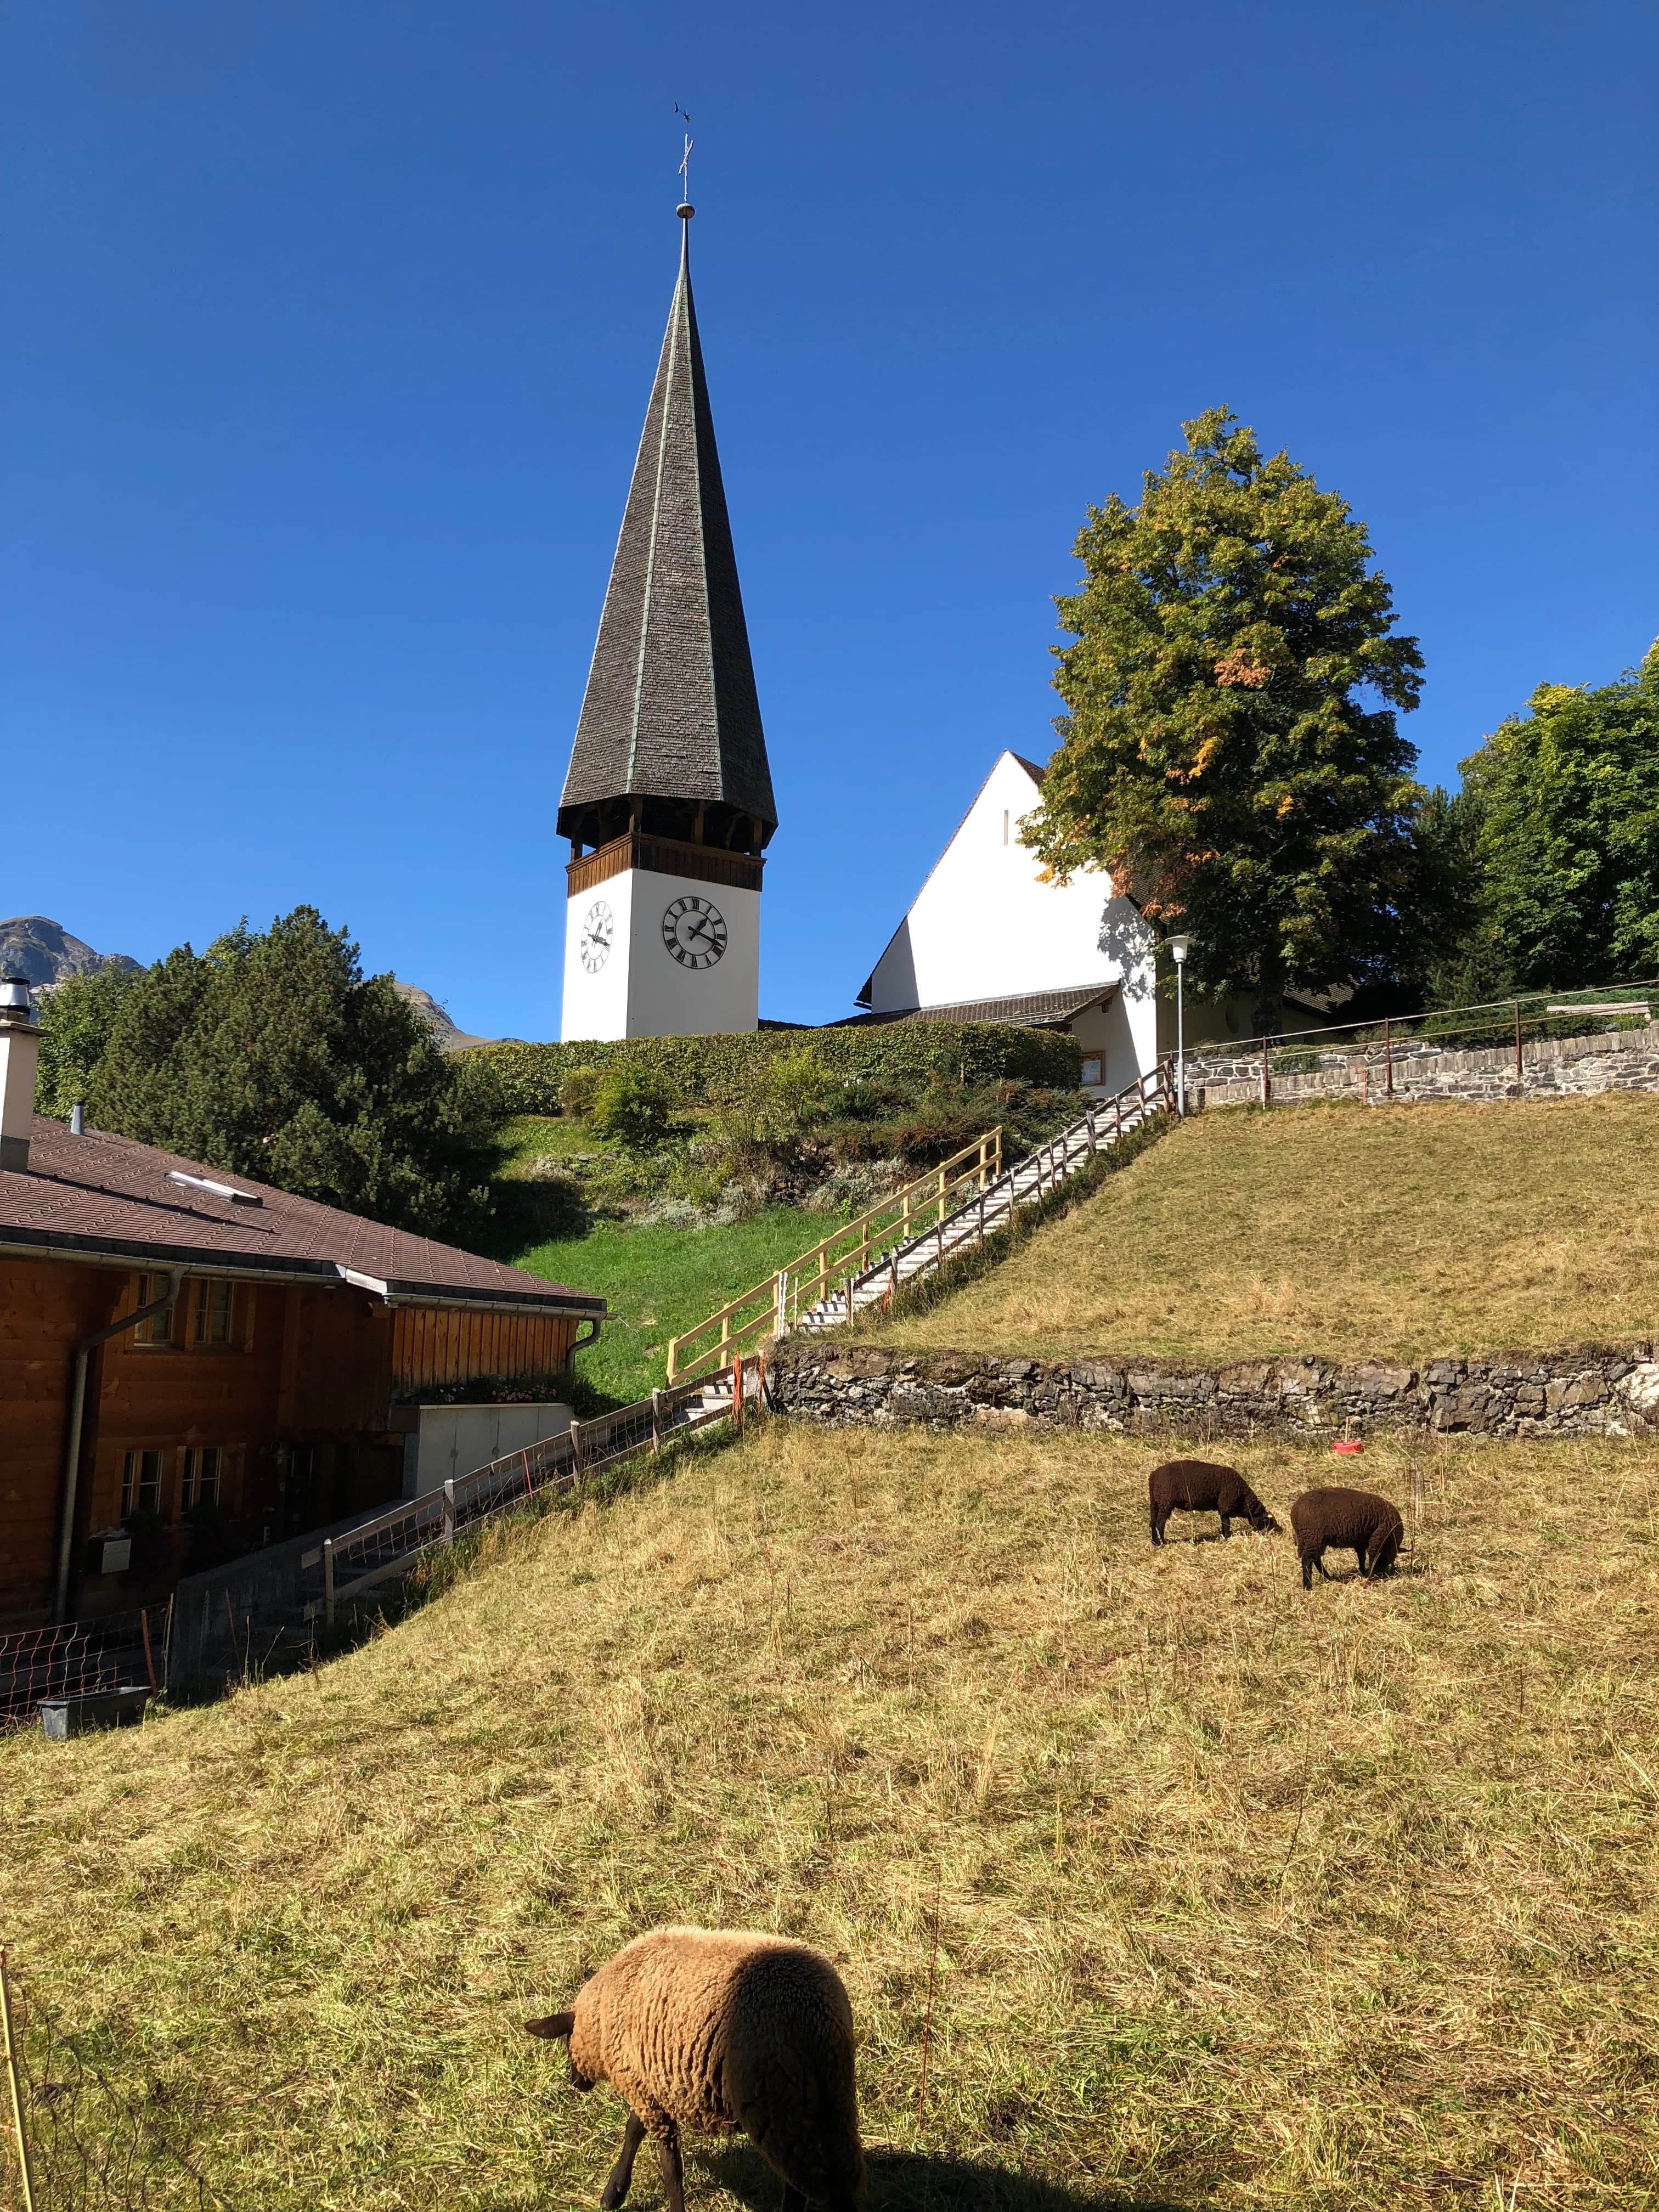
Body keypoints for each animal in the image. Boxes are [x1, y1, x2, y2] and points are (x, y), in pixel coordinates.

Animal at [528, 1920, 871, 2212]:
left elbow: (670, 2167)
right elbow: (634, 2130)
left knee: (812, 2185)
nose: (575, 2082)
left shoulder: (645, 2087)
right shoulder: (650, 2084)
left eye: (565, 2039)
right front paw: (614, 2193)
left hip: (778, 2105)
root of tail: (814, 2015)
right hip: (833, 2097)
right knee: (835, 2176)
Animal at [1150, 1451, 1283, 1539]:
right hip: (1166, 1502)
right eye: (1267, 1521)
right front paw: (1228, 1537)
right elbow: (1226, 1523)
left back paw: (1155, 1543)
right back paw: (1163, 1542)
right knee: (1160, 1524)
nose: (1269, 1534)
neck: (1244, 1500)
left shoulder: (1223, 1507)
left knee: (1152, 1523)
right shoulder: (1225, 1506)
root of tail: (1153, 1476)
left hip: (1155, 1503)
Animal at [1291, 1486, 1407, 1593]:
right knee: (1308, 1561)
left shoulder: (1361, 1541)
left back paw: (1329, 1578)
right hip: (1312, 1537)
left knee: (1316, 1559)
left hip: (1314, 1539)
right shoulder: (1378, 1538)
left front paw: (1363, 1573)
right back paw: (1308, 1587)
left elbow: (1362, 1557)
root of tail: (1294, 1512)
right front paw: (1370, 1577)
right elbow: (1373, 1557)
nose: (1382, 1571)